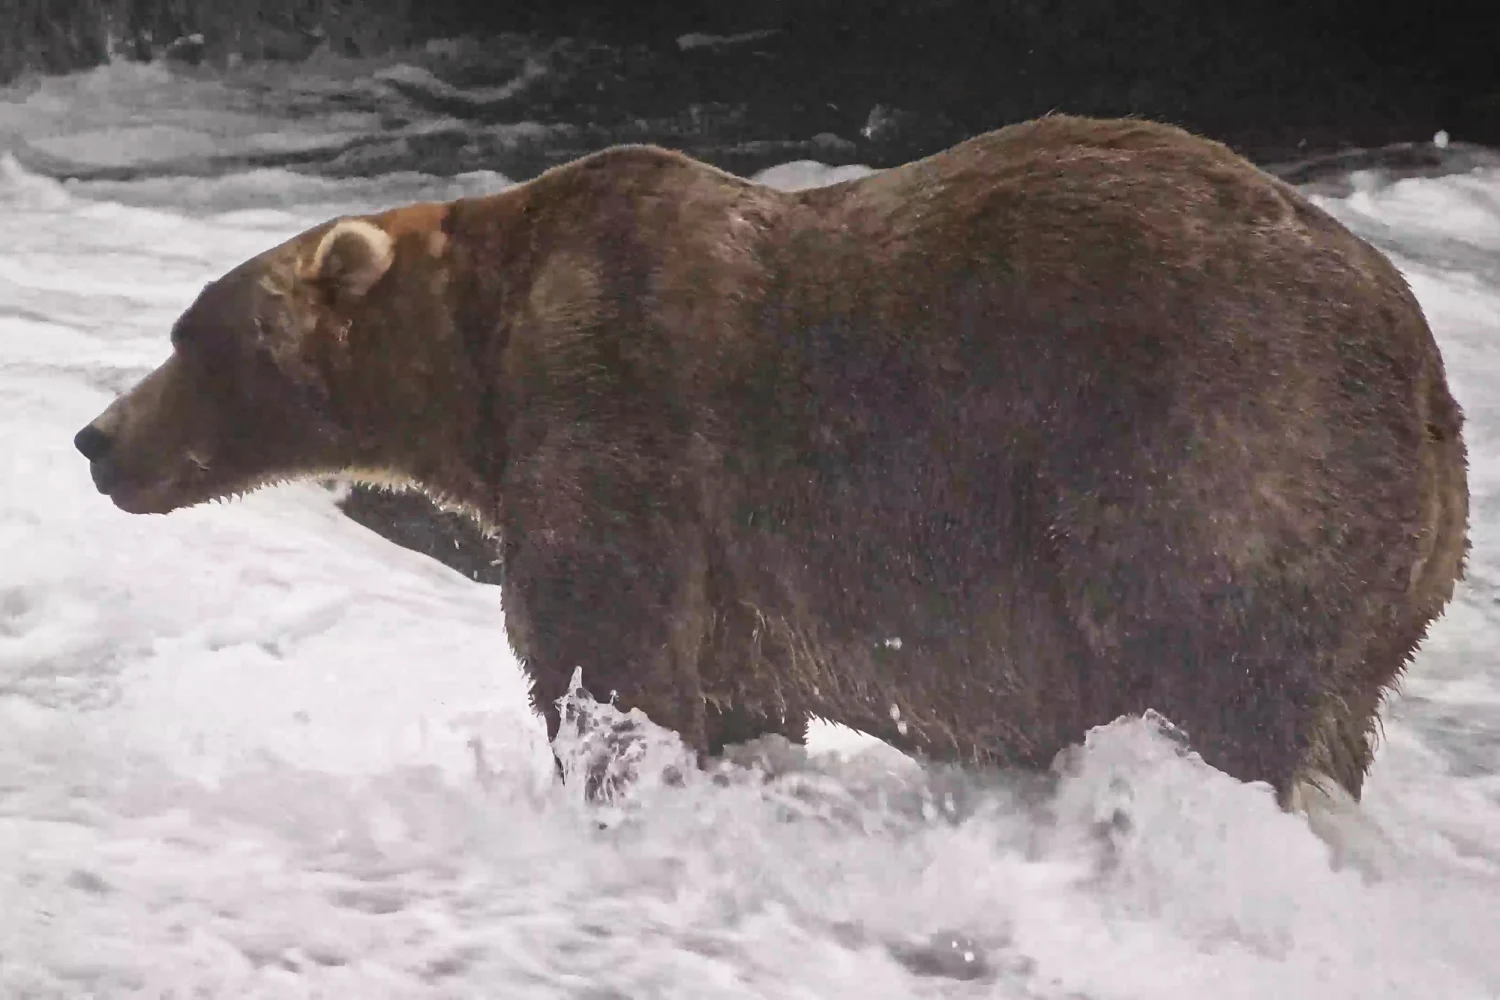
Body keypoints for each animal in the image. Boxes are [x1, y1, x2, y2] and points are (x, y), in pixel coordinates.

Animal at [73, 113, 1469, 808]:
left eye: (191, 334)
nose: (96, 439)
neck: (479, 360)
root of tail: (1428, 377)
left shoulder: (618, 407)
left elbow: (605, 653)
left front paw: (610, 776)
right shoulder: (737, 572)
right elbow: (736, 691)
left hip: (1213, 448)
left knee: (1210, 669)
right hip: (1391, 578)